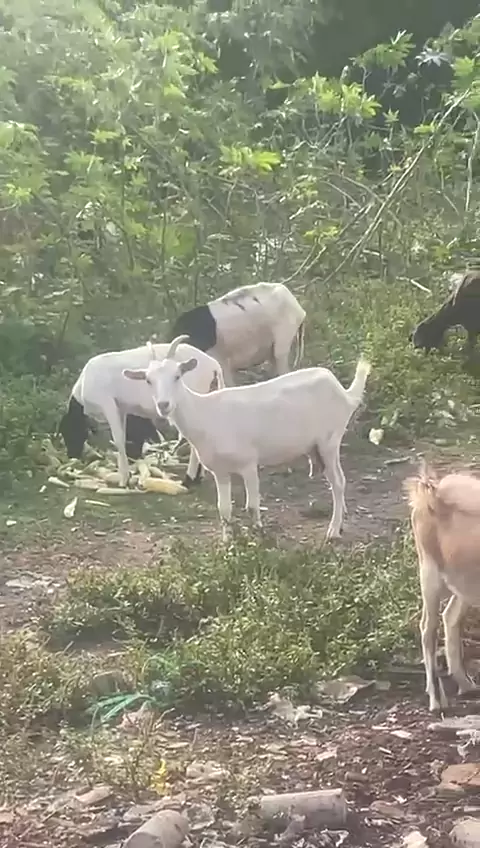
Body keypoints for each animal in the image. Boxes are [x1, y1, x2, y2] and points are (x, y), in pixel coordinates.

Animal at [58, 342, 224, 488]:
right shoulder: (121, 408)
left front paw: (124, 479)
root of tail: (214, 366)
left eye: (69, 431)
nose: (72, 456)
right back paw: (198, 476)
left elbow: (118, 439)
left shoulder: (108, 404)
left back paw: (190, 478)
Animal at [124, 335, 370, 541]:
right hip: (316, 447)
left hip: (330, 441)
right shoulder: (220, 471)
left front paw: (258, 536)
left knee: (338, 482)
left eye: (177, 376)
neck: (205, 413)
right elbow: (223, 509)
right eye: (148, 381)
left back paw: (333, 530)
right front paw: (227, 542)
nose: (163, 405)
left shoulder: (248, 463)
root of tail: (344, 393)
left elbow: (252, 505)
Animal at [405, 463, 480, 712]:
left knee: (450, 617)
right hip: (429, 574)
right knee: (427, 628)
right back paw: (436, 700)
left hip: (464, 585)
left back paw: (465, 684)